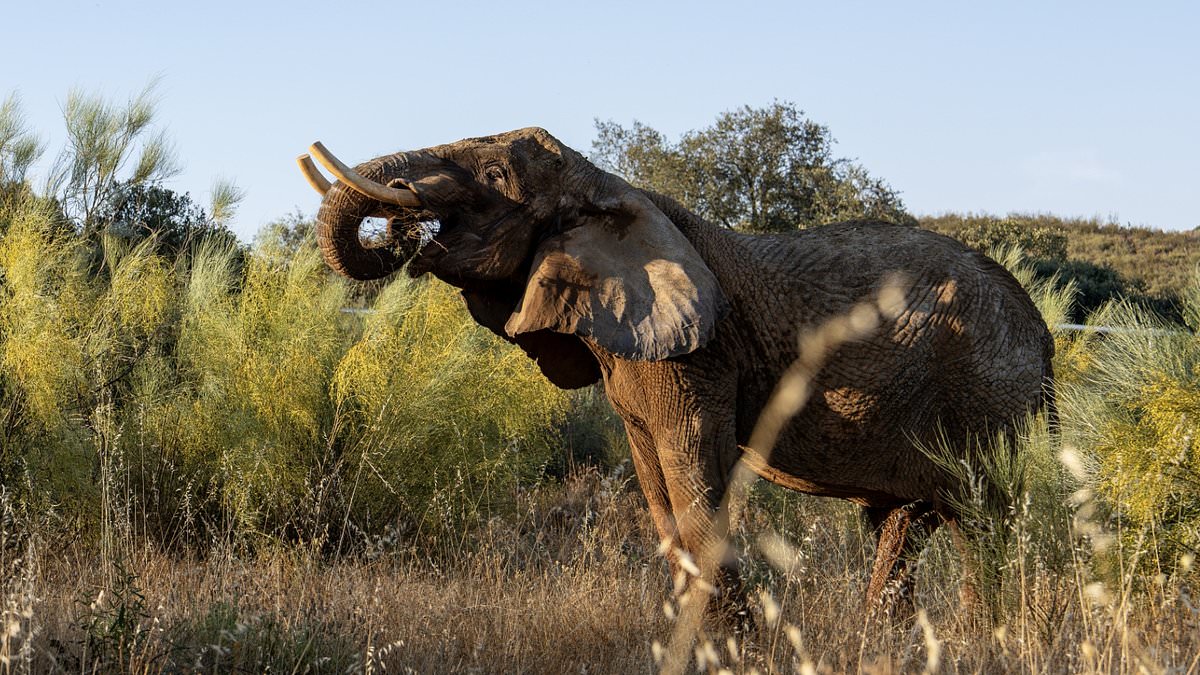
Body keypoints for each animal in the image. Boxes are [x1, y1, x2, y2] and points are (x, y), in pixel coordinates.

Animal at [296, 127, 1055, 620]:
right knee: (904, 527)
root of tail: (1043, 335)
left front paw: (731, 644)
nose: (402, 220)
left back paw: (990, 635)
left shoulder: (698, 355)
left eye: (497, 179)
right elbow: (658, 487)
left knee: (984, 522)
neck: (614, 189)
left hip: (989, 396)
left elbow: (693, 472)